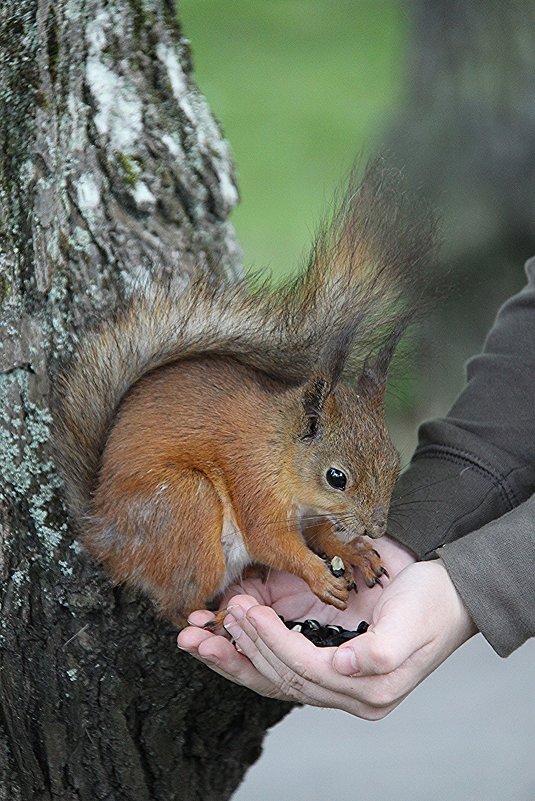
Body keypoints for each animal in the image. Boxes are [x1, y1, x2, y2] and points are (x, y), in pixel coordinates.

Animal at [51, 159, 436, 624]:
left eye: (395, 462)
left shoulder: (311, 512)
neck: (282, 454)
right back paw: (218, 622)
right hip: (186, 506)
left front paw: (353, 551)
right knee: (179, 609)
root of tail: (103, 535)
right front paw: (319, 575)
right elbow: (270, 542)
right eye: (336, 477)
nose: (377, 529)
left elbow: (322, 533)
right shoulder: (256, 485)